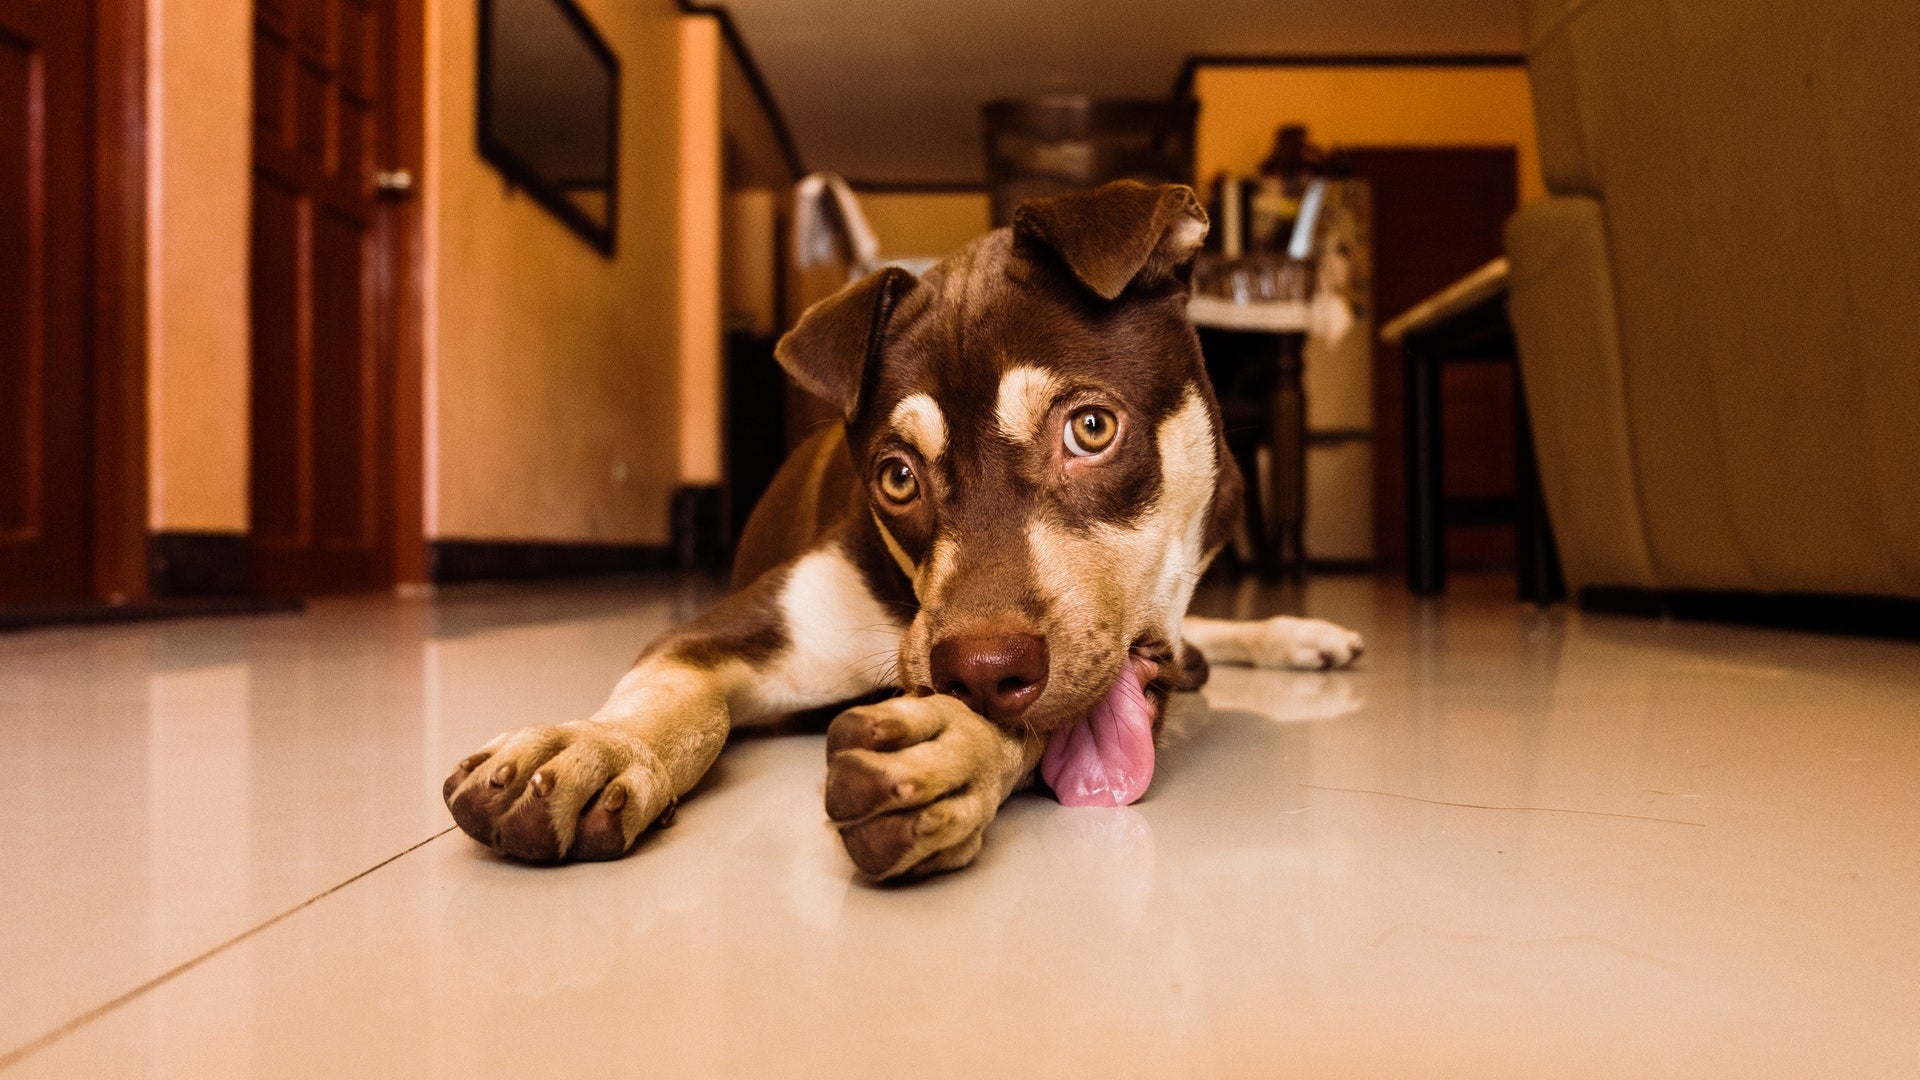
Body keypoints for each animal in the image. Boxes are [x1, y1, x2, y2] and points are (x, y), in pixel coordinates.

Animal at [439, 180, 1359, 880]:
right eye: (897, 477)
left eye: (1091, 429)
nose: (980, 670)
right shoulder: (729, 628)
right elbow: (675, 695)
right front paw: (596, 746)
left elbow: (1037, 715)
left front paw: (950, 751)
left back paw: (1294, 633)